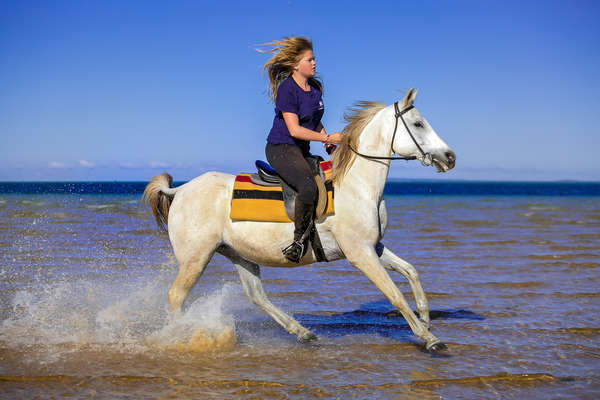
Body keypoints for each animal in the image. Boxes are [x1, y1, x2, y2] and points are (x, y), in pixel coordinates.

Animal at [144, 90, 454, 350]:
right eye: (418, 124)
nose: (450, 157)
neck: (356, 184)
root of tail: (180, 190)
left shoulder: (373, 247)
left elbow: (411, 271)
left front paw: (426, 319)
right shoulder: (360, 253)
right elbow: (394, 294)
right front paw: (429, 339)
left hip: (238, 254)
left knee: (256, 295)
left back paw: (302, 332)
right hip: (196, 257)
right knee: (176, 297)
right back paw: (182, 336)